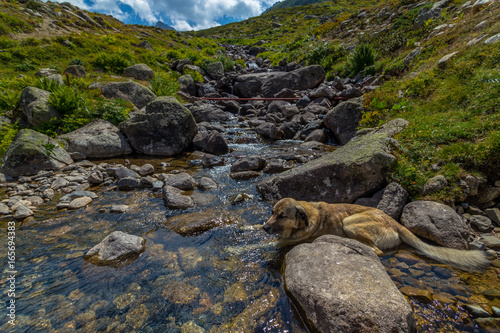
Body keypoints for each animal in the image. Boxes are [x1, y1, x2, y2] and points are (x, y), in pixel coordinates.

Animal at [264, 197, 490, 270]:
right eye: (272, 212)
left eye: (282, 216)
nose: (265, 228)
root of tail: (393, 221)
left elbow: (272, 244)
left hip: (349, 223)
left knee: (377, 251)